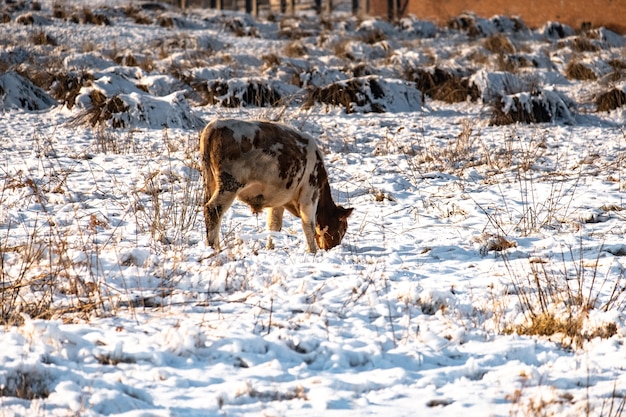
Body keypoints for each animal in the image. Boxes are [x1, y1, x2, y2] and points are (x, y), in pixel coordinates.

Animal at [199, 118, 352, 252]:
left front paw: (270, 248)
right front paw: (312, 251)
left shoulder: (279, 200)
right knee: (214, 209)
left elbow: (274, 225)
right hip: (229, 184)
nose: (333, 247)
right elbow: (308, 225)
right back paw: (215, 247)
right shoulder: (309, 194)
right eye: (343, 227)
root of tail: (214, 126)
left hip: (210, 182)